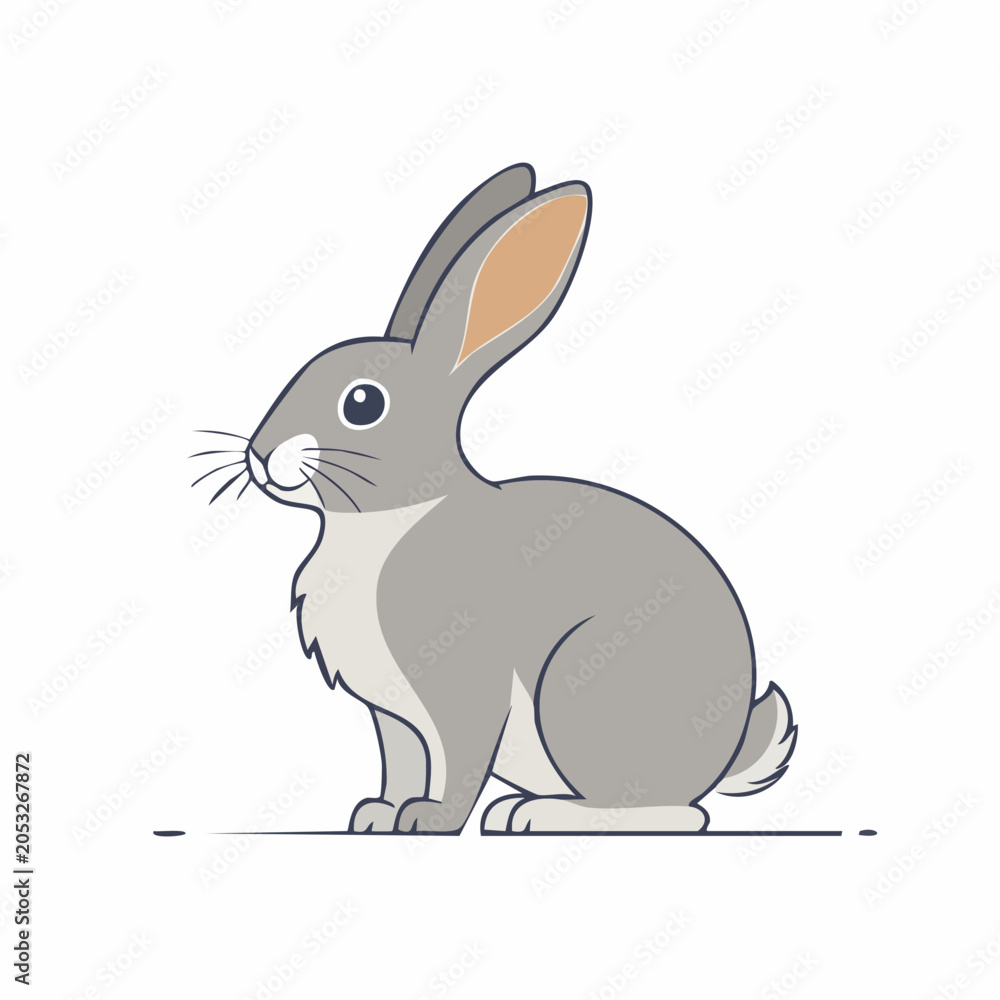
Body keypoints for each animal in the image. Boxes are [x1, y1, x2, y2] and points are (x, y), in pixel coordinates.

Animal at [220, 163, 796, 834]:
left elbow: (459, 761)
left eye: (362, 403)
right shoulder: (394, 716)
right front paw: (377, 816)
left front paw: (429, 821)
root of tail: (725, 755)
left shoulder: (464, 686)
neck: (391, 520)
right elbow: (402, 763)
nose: (260, 454)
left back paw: (535, 815)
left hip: (579, 688)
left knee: (673, 813)